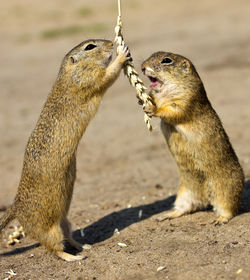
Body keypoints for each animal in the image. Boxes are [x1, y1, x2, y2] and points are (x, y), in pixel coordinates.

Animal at [0, 38, 131, 260]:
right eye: (90, 46)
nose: (110, 43)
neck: (68, 72)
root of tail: (16, 206)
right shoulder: (88, 79)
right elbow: (108, 75)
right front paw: (121, 53)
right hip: (50, 229)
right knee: (54, 248)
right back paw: (74, 257)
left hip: (64, 221)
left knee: (69, 237)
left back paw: (83, 246)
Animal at [143, 51, 244, 224]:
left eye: (166, 60)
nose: (143, 67)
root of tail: (206, 198)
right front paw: (143, 100)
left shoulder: (187, 99)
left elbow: (173, 111)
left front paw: (152, 108)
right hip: (184, 194)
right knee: (185, 208)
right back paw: (165, 216)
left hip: (226, 191)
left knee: (230, 209)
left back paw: (220, 219)